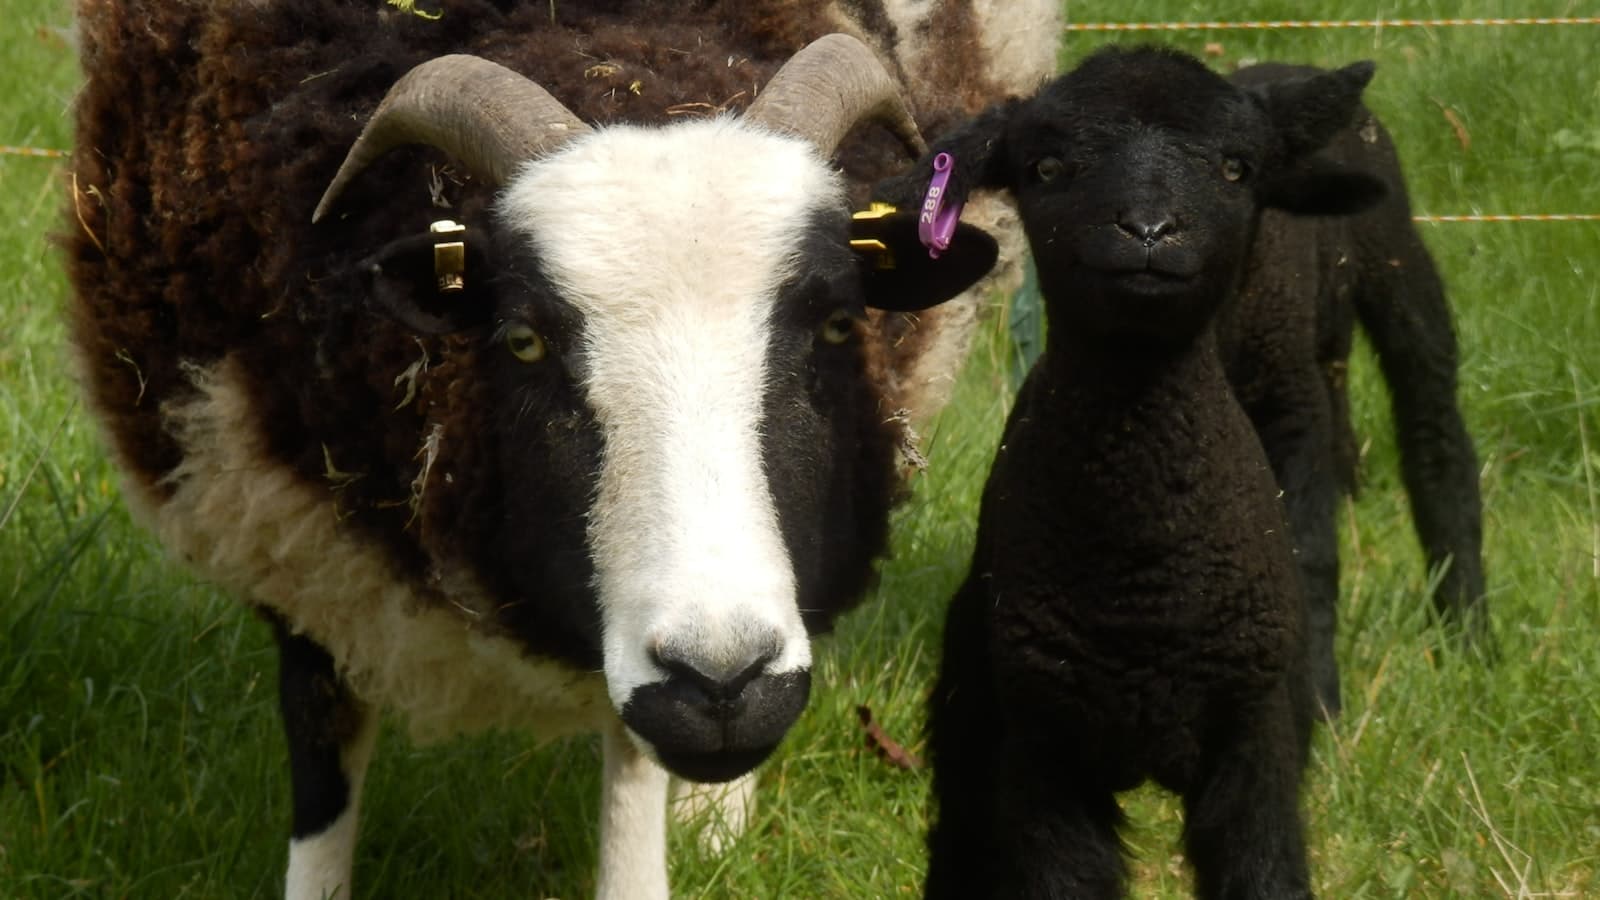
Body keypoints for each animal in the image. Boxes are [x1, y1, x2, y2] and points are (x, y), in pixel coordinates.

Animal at [890, 47, 1388, 897]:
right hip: (975, 702)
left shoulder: (1254, 741)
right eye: (1046, 166)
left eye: (1236, 167)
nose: (1149, 231)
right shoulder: (1043, 753)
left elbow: (1266, 869)